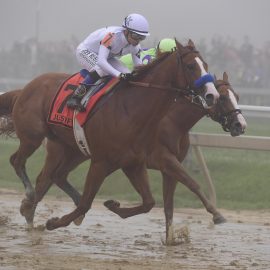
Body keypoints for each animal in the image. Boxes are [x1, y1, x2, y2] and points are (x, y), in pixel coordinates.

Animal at [0, 39, 220, 231]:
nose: (212, 95)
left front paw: (113, 205)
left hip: (71, 148)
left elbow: (149, 202)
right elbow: (86, 203)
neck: (131, 110)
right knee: (18, 161)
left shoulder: (133, 163)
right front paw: (54, 222)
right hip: (33, 136)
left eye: (206, 65)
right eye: (191, 66)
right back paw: (29, 199)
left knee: (53, 176)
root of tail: (26, 87)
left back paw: (30, 209)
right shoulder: (101, 162)